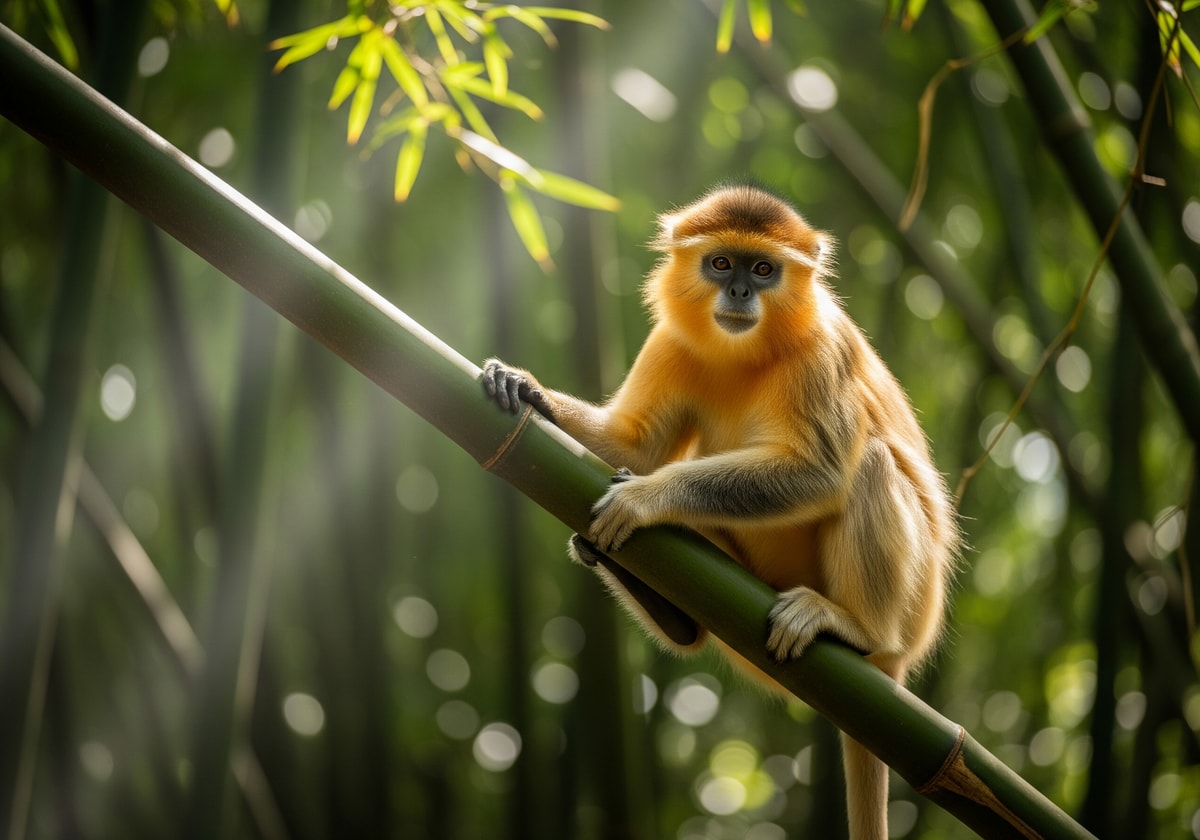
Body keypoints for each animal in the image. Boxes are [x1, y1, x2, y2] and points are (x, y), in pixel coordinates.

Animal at [481, 184, 958, 840]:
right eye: (721, 263)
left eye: (763, 270)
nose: (738, 293)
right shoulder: (672, 339)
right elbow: (635, 448)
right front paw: (528, 391)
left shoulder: (824, 349)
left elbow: (821, 472)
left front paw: (645, 497)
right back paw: (651, 597)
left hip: (914, 614)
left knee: (870, 464)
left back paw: (855, 626)